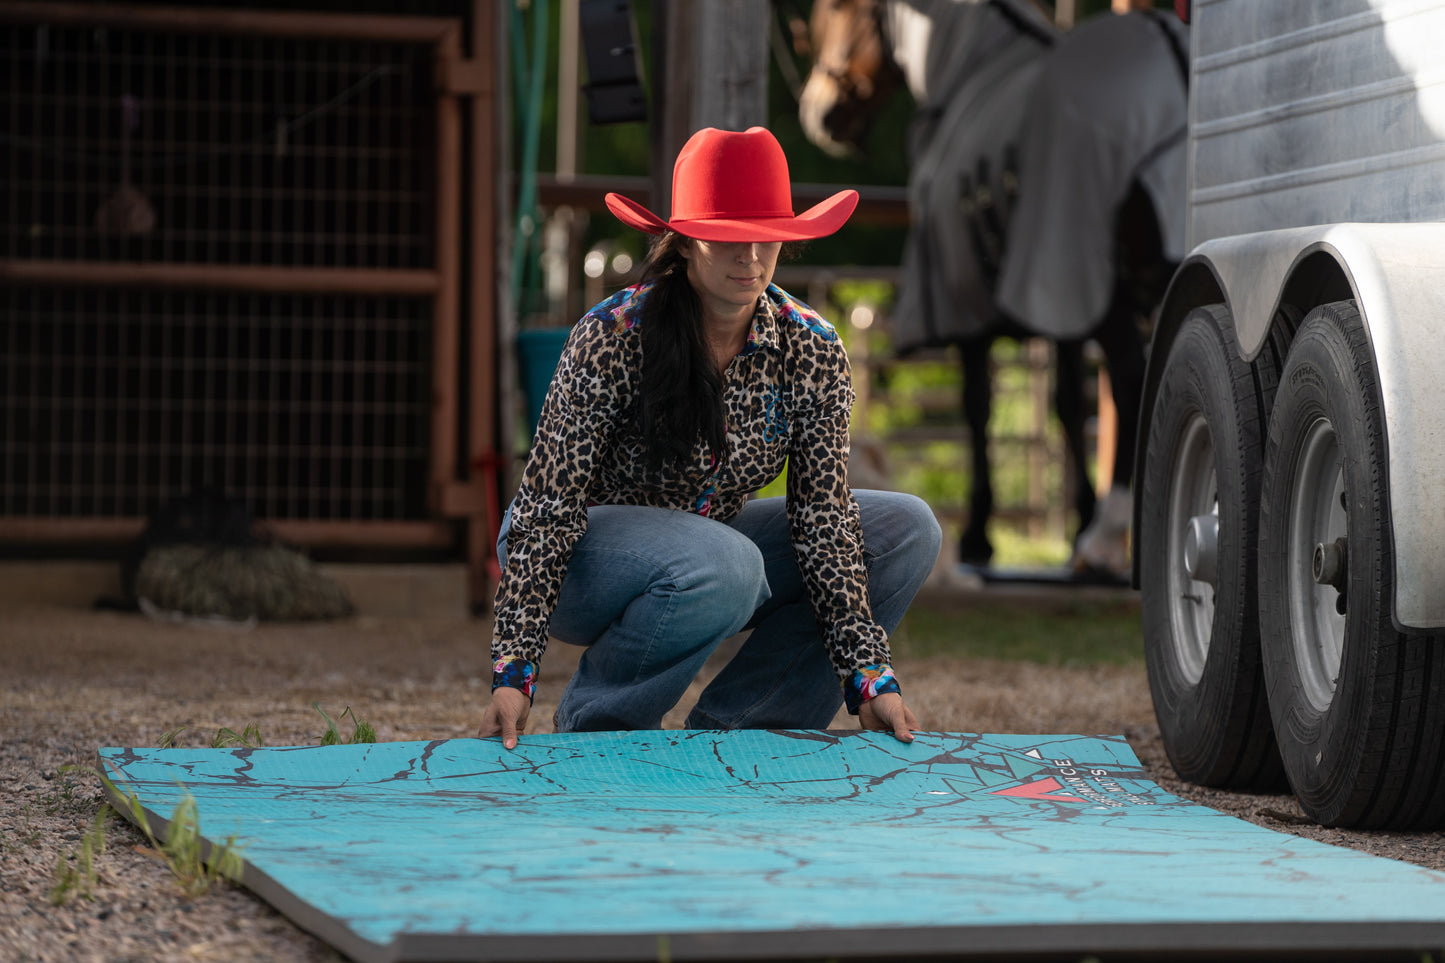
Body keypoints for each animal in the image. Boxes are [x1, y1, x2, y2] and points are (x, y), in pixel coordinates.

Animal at [797, 0, 1190, 578]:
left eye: (833, 9)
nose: (819, 111)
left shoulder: (972, 304)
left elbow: (977, 405)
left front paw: (980, 536)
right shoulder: (1058, 301)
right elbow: (1068, 403)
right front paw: (1078, 518)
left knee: (1130, 379)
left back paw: (1106, 539)